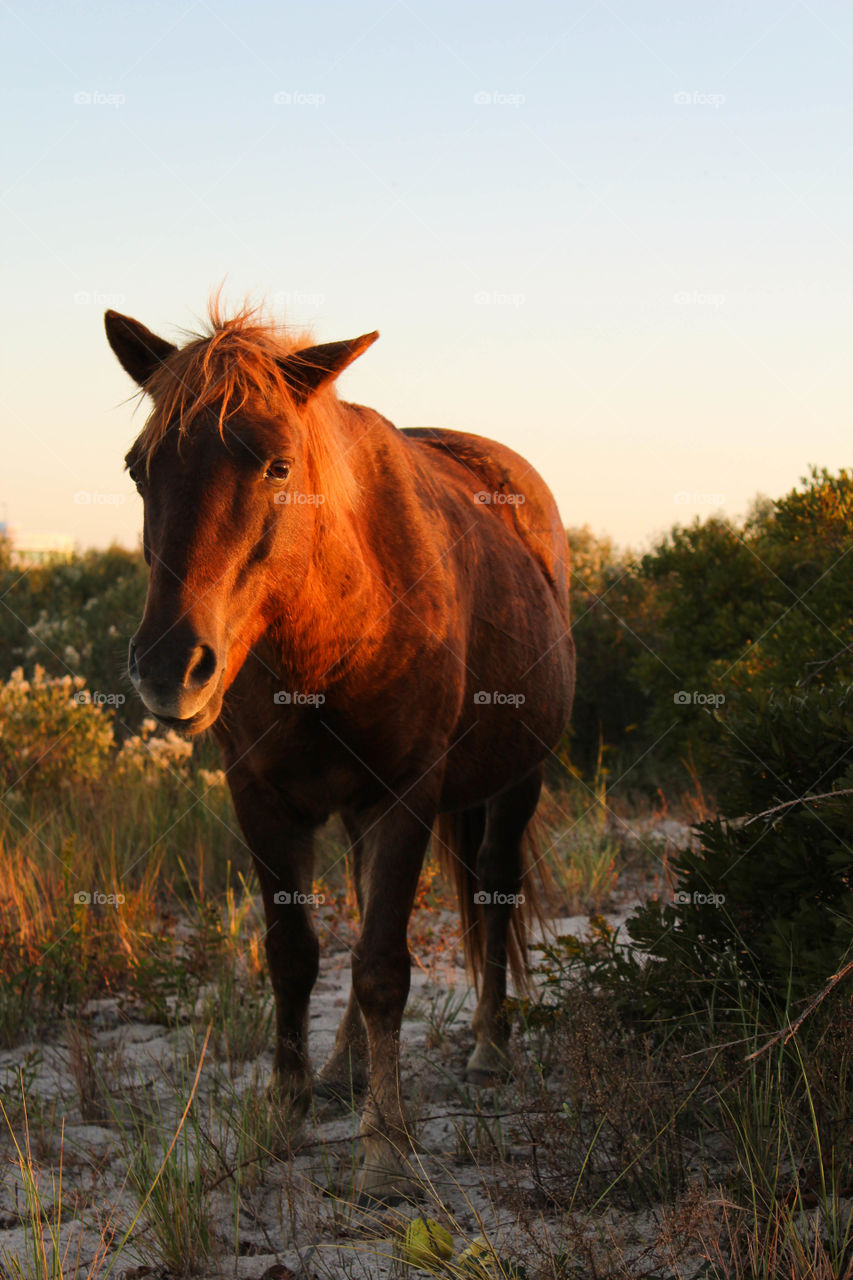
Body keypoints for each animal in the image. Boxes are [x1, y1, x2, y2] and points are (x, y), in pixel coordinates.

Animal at [105, 302, 576, 1201]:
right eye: (139, 468)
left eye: (279, 464)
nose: (168, 667)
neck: (332, 632)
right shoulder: (259, 797)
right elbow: (295, 954)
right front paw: (286, 1107)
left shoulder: (403, 795)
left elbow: (384, 965)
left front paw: (385, 1147)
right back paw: (341, 1071)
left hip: (515, 780)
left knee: (493, 890)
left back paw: (489, 1047)